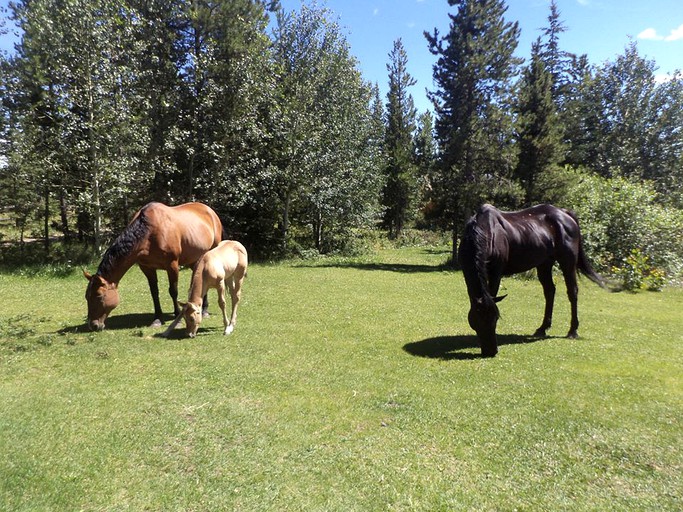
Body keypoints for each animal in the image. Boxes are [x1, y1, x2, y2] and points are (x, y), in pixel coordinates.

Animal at [82, 202, 222, 330]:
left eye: (99, 296)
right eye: (87, 296)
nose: (93, 325)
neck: (149, 233)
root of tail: (210, 211)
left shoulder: (172, 265)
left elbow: (173, 291)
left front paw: (177, 318)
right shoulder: (147, 268)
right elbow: (154, 292)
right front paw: (157, 318)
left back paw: (204, 310)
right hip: (194, 260)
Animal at [456, 203, 608, 356]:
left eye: (495, 319)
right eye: (478, 320)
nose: (491, 351)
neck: (485, 232)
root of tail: (565, 213)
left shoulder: (496, 273)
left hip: (568, 262)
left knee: (572, 292)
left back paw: (573, 331)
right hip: (545, 263)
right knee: (550, 291)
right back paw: (542, 328)